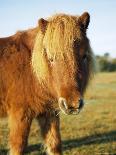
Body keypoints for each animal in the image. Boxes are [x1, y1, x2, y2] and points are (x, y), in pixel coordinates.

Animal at [0, 12, 94, 155]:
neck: (31, 71)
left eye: (84, 56)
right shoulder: (20, 115)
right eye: (51, 58)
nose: (73, 104)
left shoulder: (48, 113)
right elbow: (18, 147)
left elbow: (54, 144)